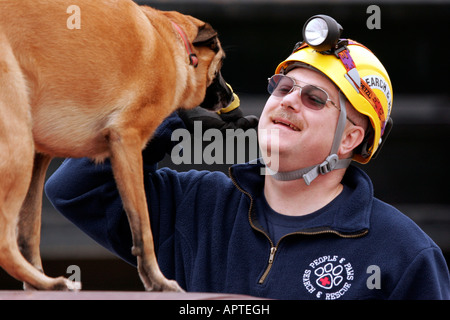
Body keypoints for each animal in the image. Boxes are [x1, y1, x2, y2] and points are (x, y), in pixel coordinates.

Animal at [0, 0, 232, 292]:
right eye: (221, 63)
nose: (230, 96)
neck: (173, 41)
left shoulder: (39, 157)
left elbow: (29, 231)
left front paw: (35, 284)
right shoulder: (127, 141)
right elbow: (143, 227)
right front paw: (157, 281)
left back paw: (44, 283)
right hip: (18, 146)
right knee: (4, 243)